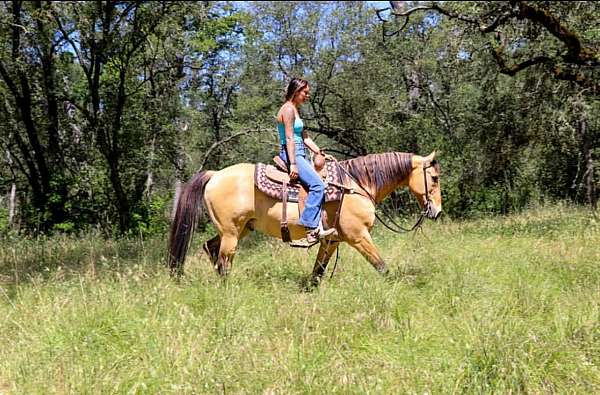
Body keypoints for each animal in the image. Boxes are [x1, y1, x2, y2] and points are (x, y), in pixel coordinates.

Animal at [169, 151, 440, 284]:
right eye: (435, 178)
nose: (436, 211)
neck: (355, 185)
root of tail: (215, 175)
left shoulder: (331, 241)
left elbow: (317, 272)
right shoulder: (358, 237)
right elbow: (381, 266)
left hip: (241, 230)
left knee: (210, 248)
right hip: (231, 234)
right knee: (224, 260)